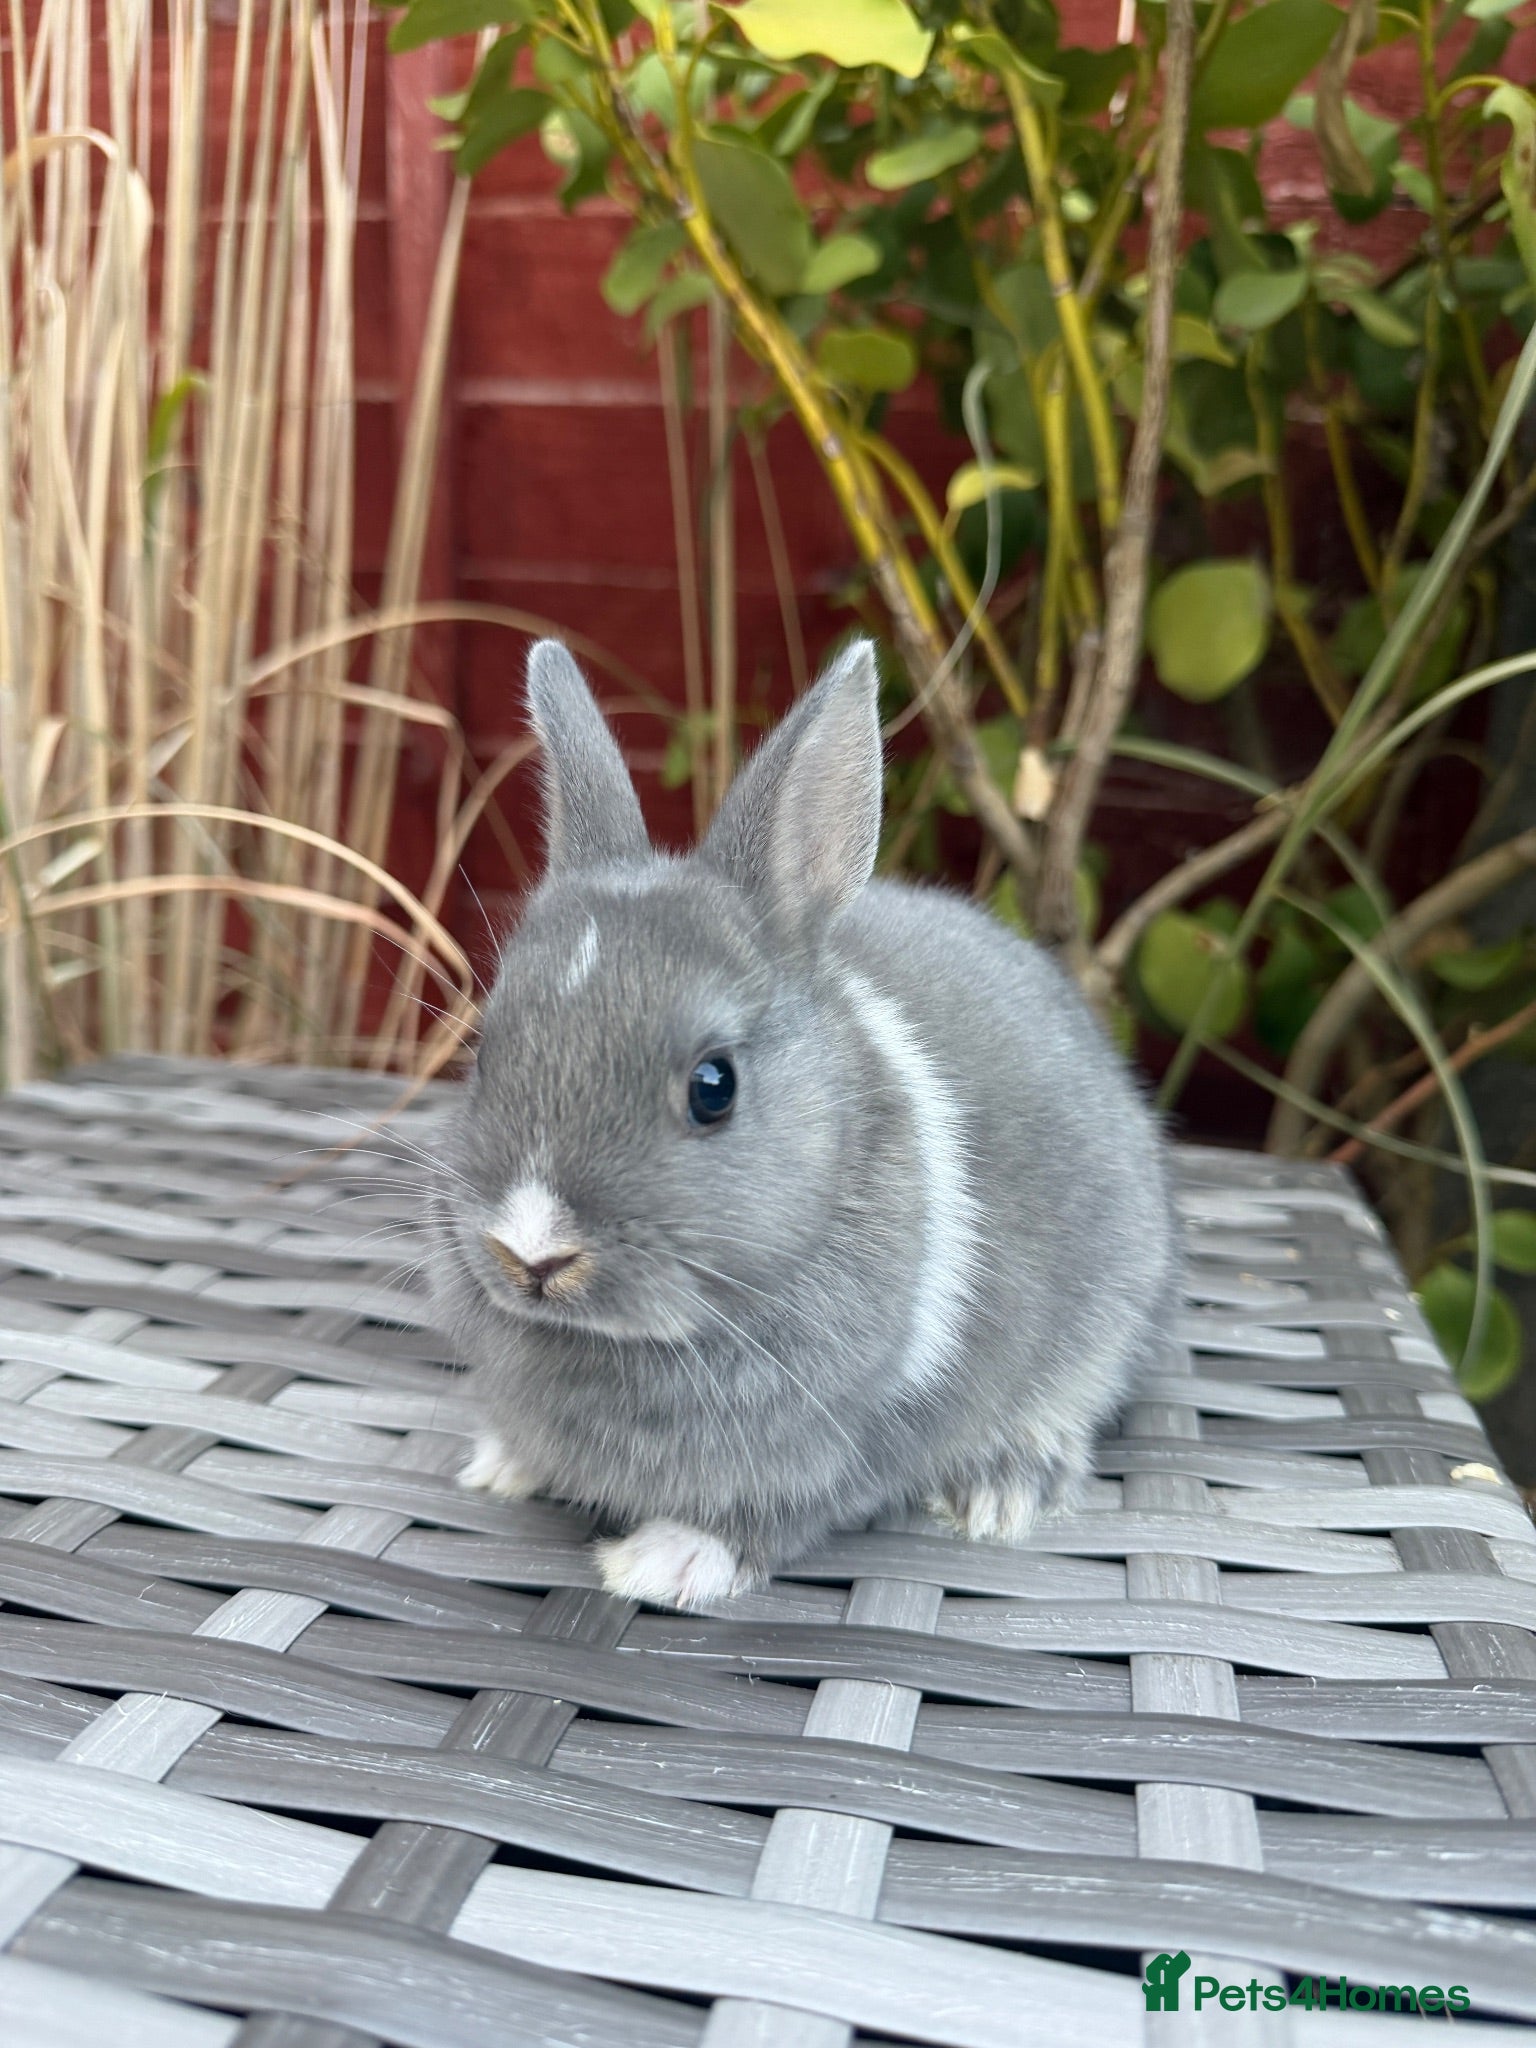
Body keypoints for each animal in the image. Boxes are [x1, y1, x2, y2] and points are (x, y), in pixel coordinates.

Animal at [428, 635, 1175, 1612]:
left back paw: (996, 1493)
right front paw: (499, 1465)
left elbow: (775, 1517)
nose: (531, 1255)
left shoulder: (853, 1443)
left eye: (715, 1086)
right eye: (485, 1050)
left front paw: (662, 1563)